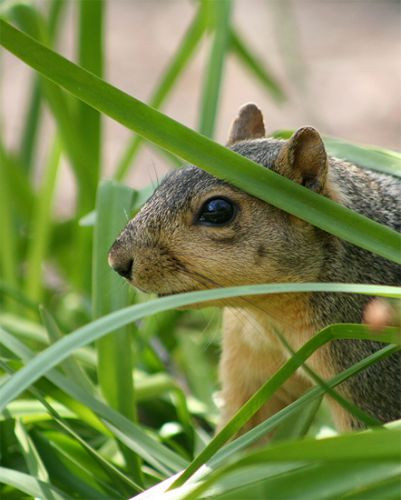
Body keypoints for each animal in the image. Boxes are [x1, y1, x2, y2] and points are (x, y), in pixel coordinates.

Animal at [108, 102, 398, 434]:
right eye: (169, 180)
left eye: (217, 210)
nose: (117, 261)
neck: (269, 315)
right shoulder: (248, 355)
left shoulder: (368, 368)